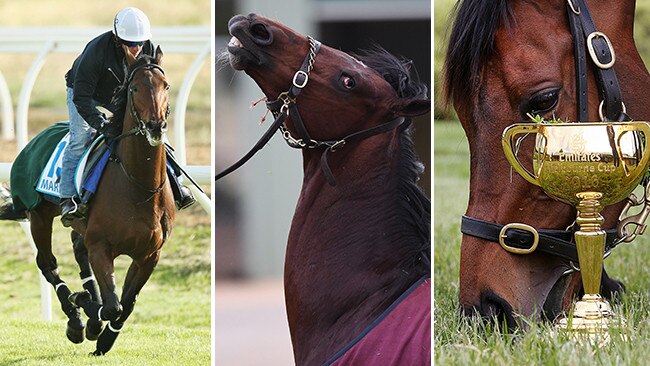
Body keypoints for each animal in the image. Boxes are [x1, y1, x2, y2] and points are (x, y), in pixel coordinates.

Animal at [0, 45, 173, 354]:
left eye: (165, 85)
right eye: (135, 88)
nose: (156, 126)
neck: (138, 187)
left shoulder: (149, 255)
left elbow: (126, 304)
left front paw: (104, 338)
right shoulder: (101, 247)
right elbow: (113, 306)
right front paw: (84, 307)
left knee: (77, 250)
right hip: (39, 216)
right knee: (48, 264)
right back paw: (76, 320)